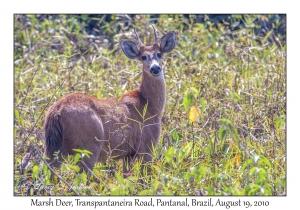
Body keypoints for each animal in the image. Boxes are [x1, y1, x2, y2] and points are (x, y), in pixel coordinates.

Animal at [44, 25, 176, 176]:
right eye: (143, 57)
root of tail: (56, 112)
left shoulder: (128, 153)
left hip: (53, 148)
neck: (150, 104)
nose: (155, 68)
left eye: (159, 54)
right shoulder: (147, 145)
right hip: (88, 147)